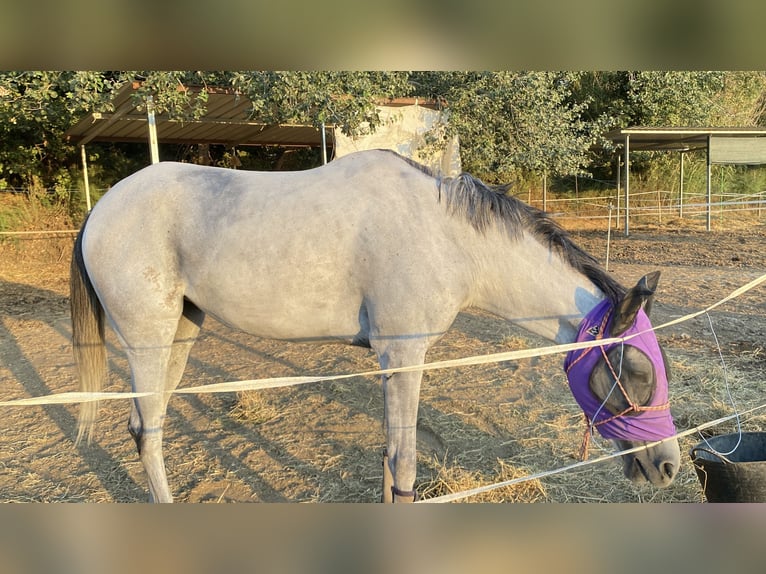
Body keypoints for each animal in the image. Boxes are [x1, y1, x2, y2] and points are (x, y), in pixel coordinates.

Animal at [70, 149, 680, 502]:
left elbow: (389, 460)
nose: (670, 464)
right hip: (147, 342)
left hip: (182, 333)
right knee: (145, 433)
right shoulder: (405, 357)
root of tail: (102, 209)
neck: (446, 236)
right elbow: (405, 464)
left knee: (151, 425)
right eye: (636, 371)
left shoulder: (391, 364)